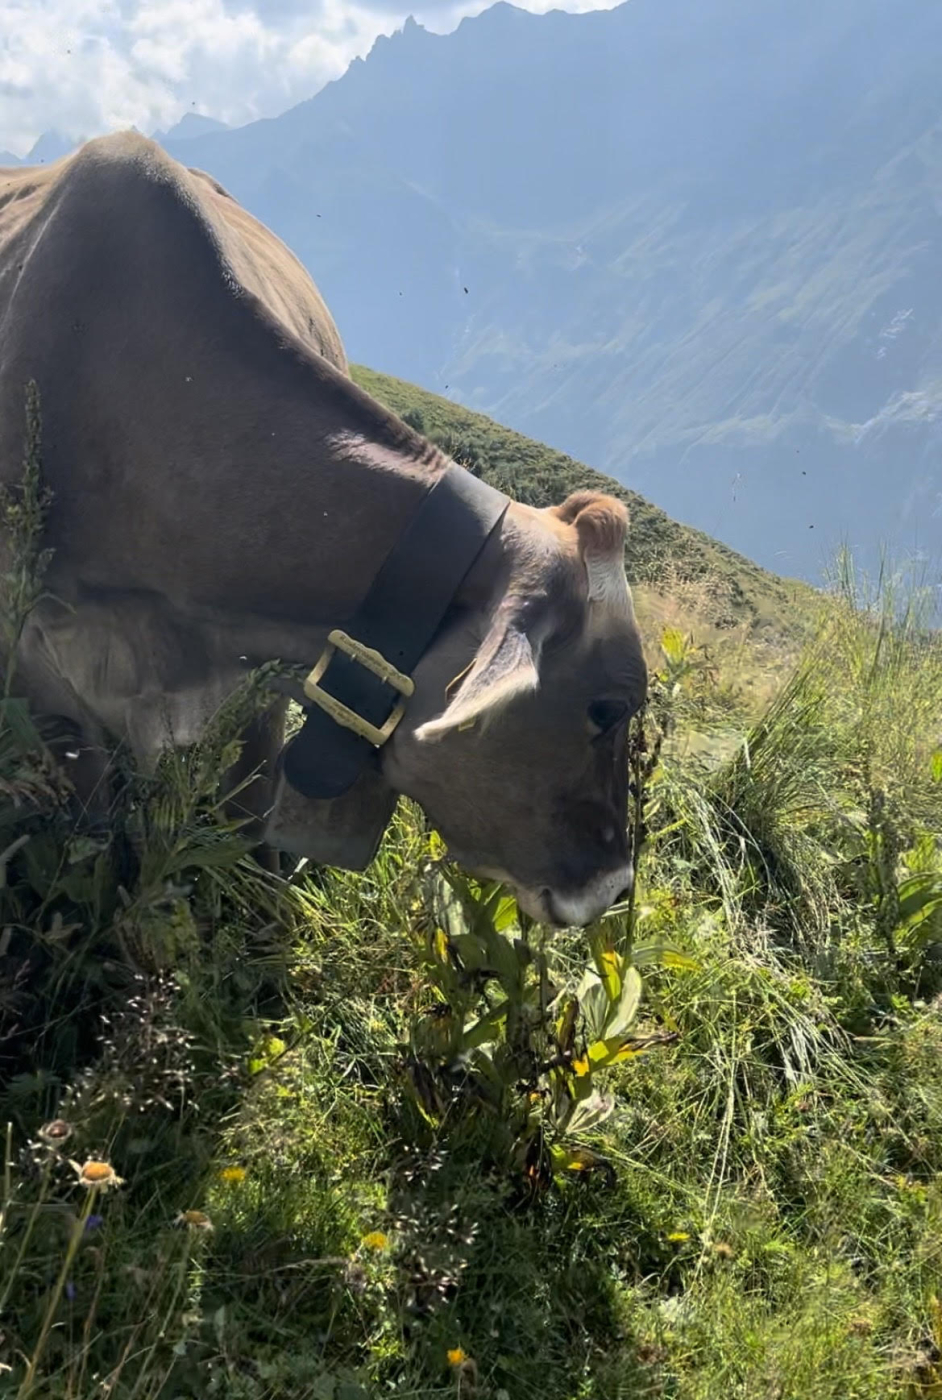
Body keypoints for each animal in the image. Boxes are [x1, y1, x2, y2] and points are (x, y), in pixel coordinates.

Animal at [0, 128, 646, 918]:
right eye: (607, 709)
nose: (616, 887)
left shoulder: (262, 688)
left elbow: (249, 824)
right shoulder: (38, 673)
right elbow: (94, 841)